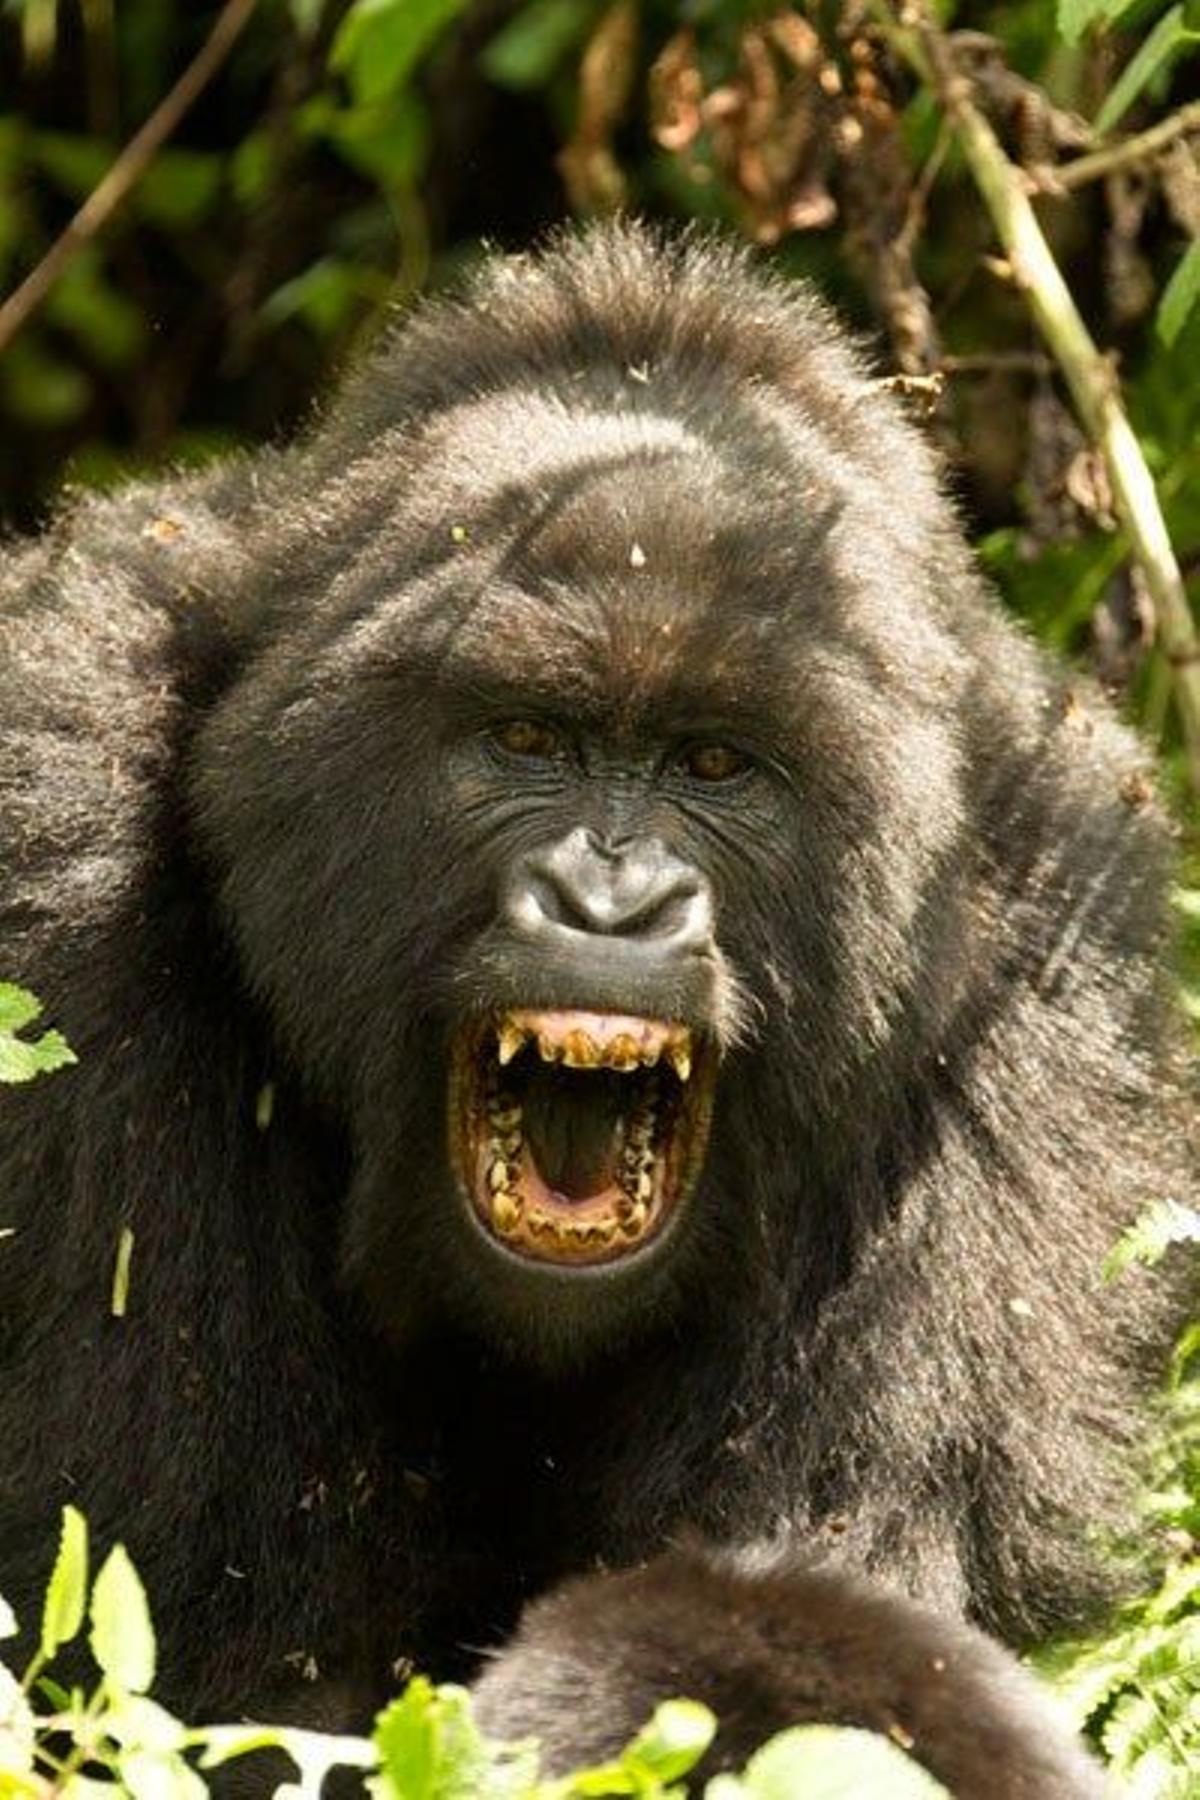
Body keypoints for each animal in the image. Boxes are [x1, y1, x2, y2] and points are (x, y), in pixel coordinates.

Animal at [0, 228, 1194, 1800]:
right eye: (526, 739)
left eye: (716, 764)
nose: (612, 902)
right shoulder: (59, 829)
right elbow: (215, 1671)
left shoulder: (1045, 941)